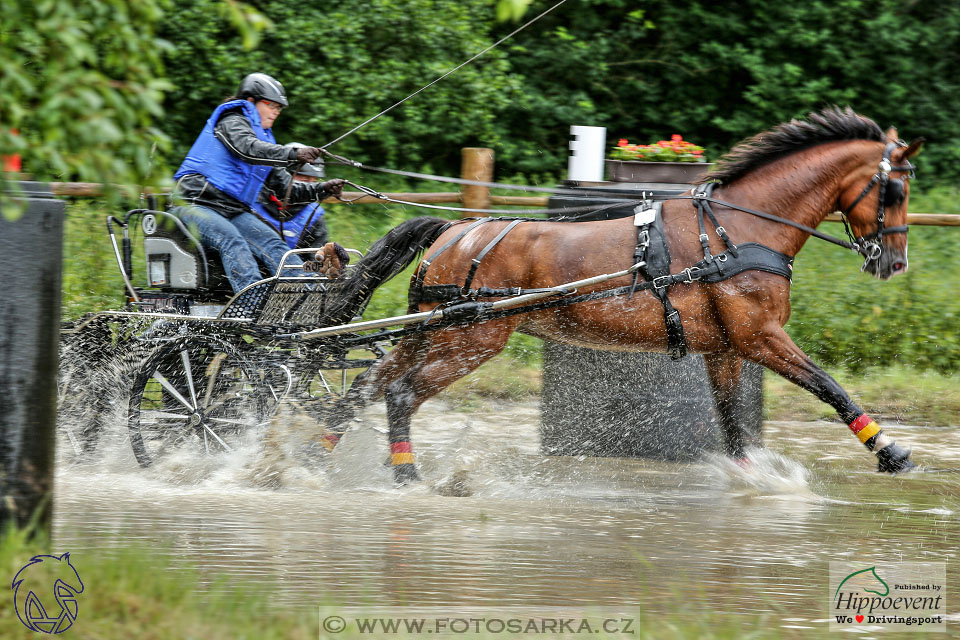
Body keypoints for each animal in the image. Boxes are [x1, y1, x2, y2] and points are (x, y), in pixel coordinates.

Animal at [322, 106, 924, 484]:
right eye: (895, 189)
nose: (894, 263)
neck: (734, 230)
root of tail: (454, 231)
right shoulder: (761, 337)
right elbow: (830, 387)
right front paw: (892, 453)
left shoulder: (727, 350)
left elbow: (733, 424)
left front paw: (750, 480)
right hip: (470, 340)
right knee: (399, 395)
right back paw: (406, 475)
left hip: (430, 333)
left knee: (364, 390)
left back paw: (310, 459)